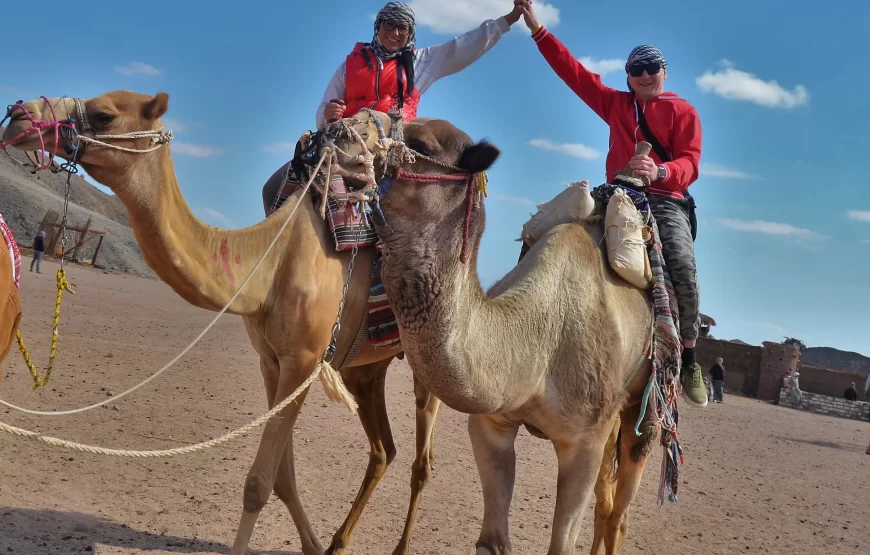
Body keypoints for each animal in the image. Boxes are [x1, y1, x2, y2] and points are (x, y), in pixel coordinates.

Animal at [3, 91, 442, 555]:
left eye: (104, 115)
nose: (18, 117)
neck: (270, 262)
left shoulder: (304, 359)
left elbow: (258, 484)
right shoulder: (272, 361)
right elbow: (282, 477)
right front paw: (313, 546)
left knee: (422, 460)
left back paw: (400, 545)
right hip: (367, 367)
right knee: (383, 449)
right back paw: (339, 541)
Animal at [326, 115, 668, 552]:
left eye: (421, 144)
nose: (341, 131)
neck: (537, 344)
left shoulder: (584, 442)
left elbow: (562, 544)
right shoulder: (492, 425)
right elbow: (492, 540)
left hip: (643, 408)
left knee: (620, 509)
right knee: (606, 506)